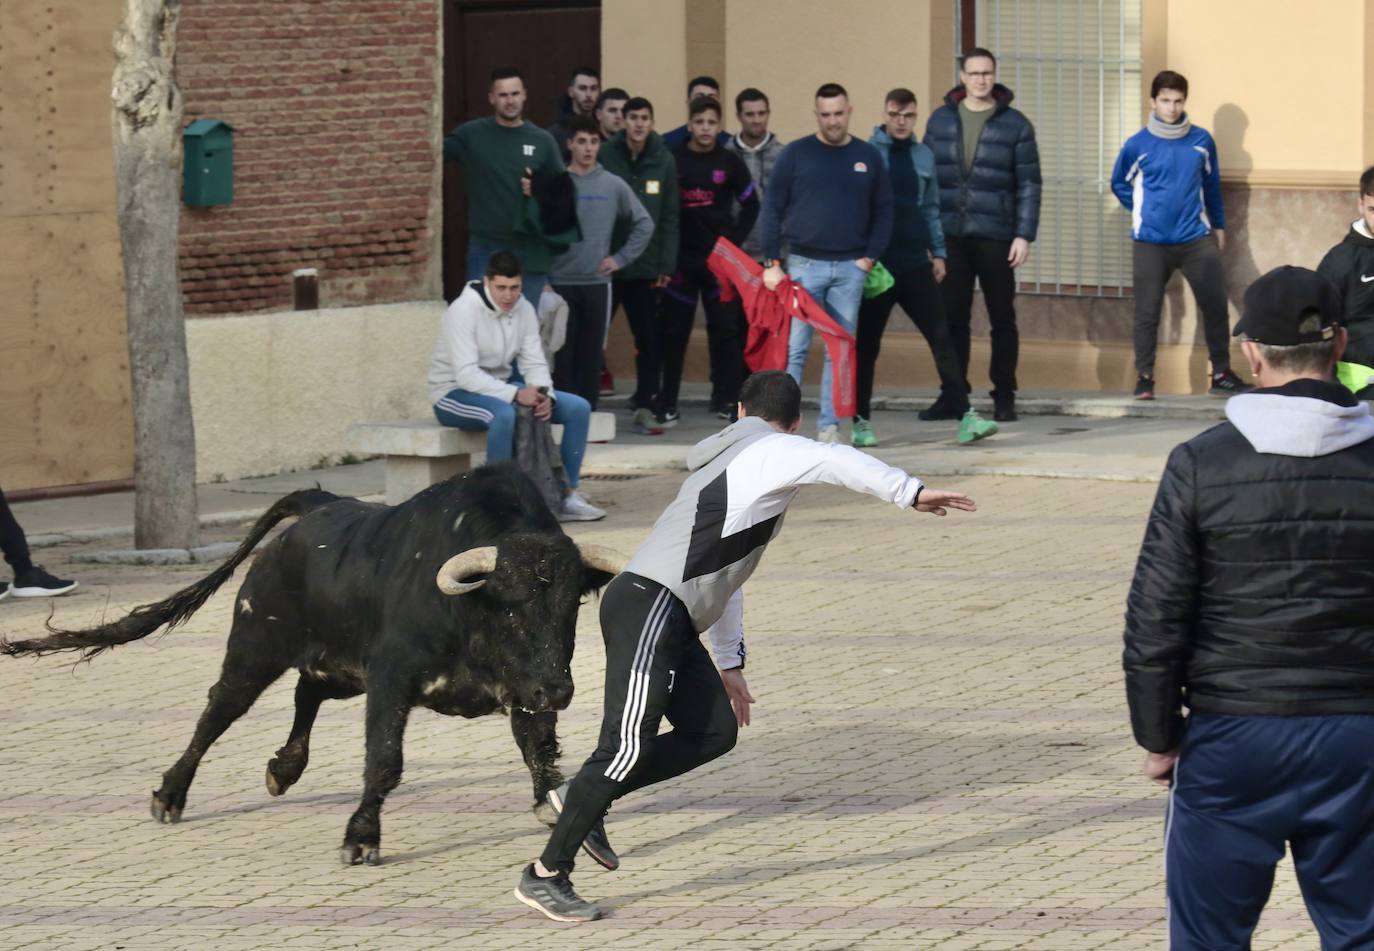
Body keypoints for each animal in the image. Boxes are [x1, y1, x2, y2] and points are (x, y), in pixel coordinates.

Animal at [2, 464, 626, 863]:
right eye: (512, 604)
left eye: (570, 605)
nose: (561, 691)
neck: (468, 611)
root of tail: (315, 508)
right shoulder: (393, 678)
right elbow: (384, 761)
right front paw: (361, 837)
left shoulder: (526, 686)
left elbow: (539, 749)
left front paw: (559, 811)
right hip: (254, 650)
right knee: (217, 714)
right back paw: (171, 795)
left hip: (338, 664)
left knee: (308, 692)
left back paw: (283, 768)